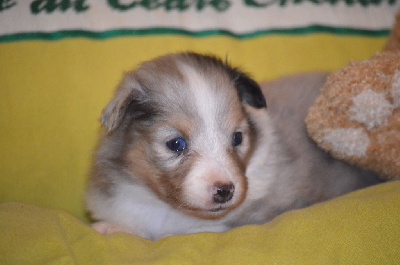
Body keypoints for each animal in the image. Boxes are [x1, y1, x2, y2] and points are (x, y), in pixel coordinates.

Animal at [85, 52, 382, 239]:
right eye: (176, 144)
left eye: (237, 138)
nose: (225, 191)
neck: (165, 206)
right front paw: (110, 227)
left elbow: (170, 234)